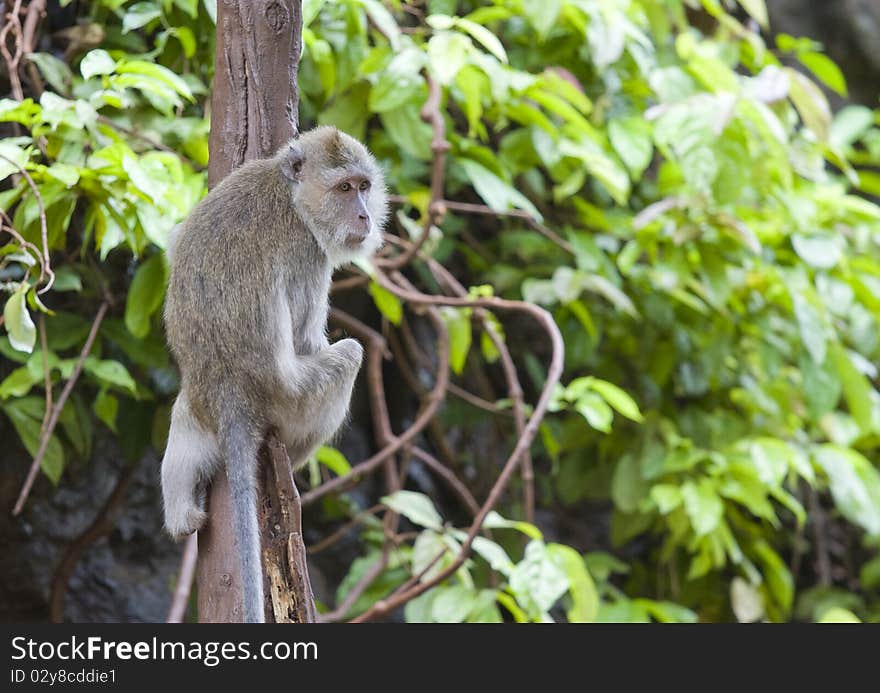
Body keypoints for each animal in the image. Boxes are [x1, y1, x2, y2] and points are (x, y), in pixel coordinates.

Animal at [162, 124, 388, 620]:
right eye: (345, 189)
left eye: (364, 186)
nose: (364, 216)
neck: (290, 194)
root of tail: (230, 393)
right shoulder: (309, 254)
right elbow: (307, 343)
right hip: (292, 399)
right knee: (350, 354)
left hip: (196, 405)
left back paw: (184, 514)